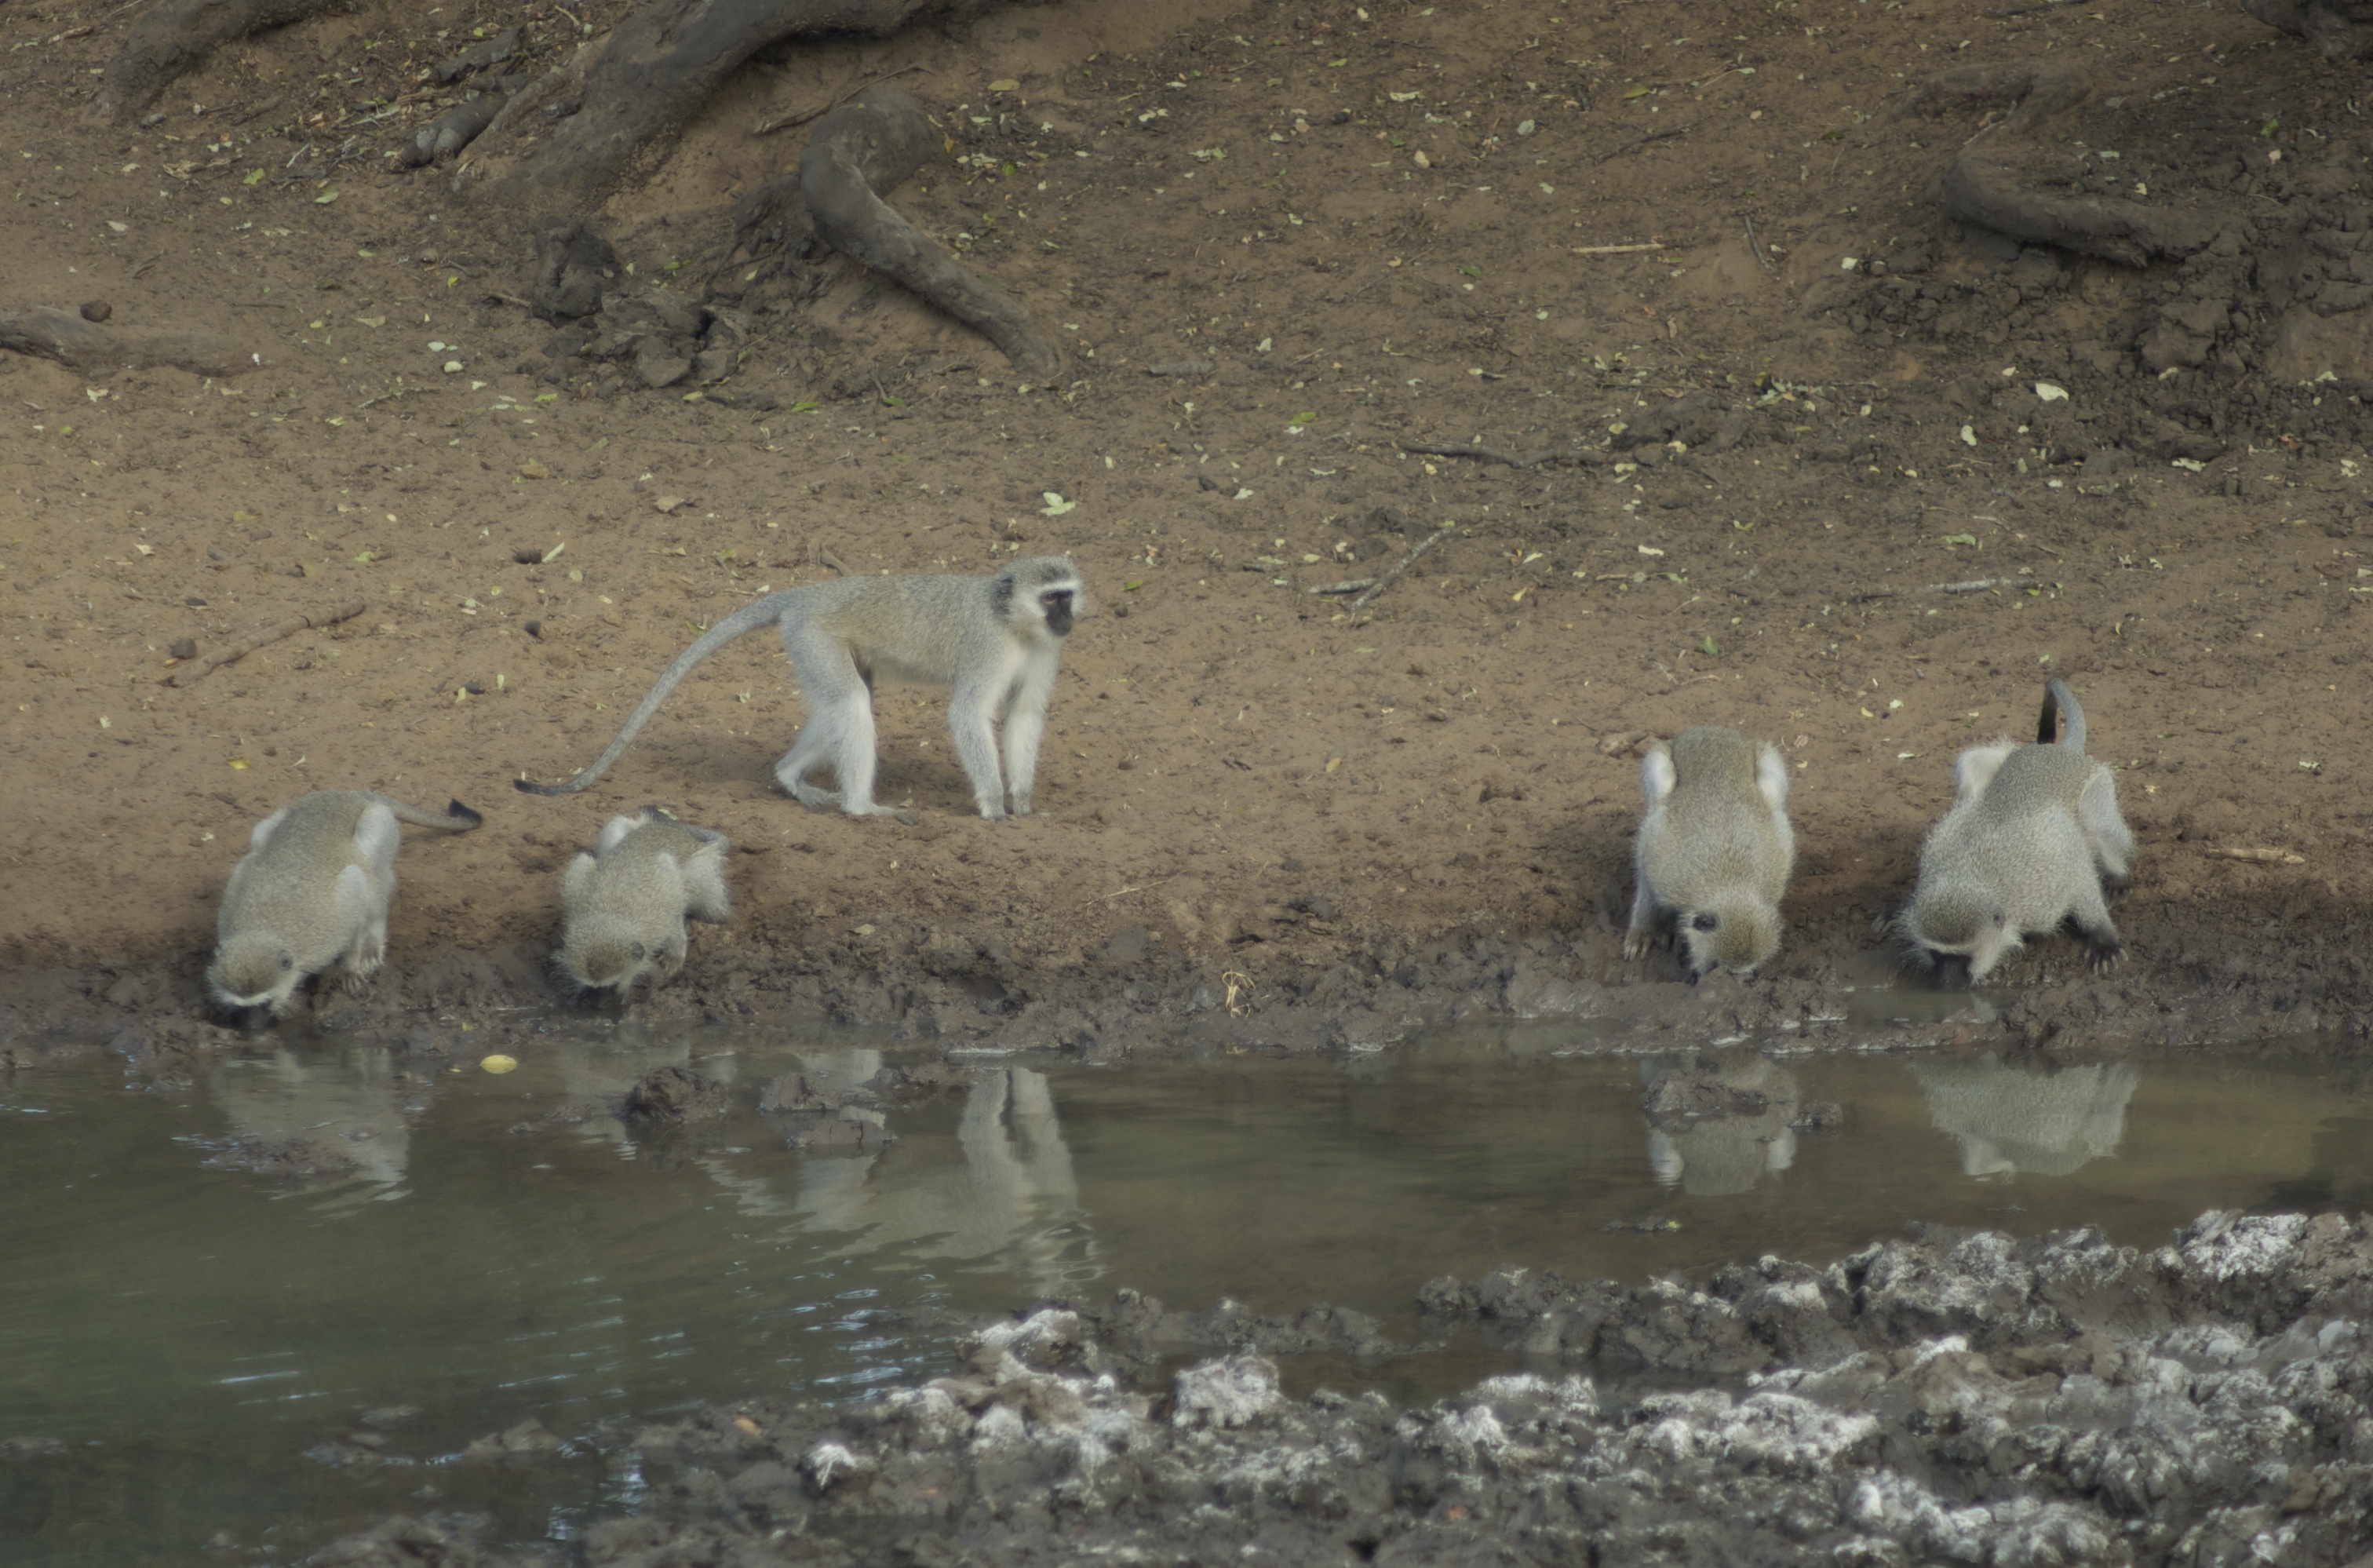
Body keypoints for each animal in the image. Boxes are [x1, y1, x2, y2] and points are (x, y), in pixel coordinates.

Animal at [213, 787, 486, 1019]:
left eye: (264, 1004)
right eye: (243, 1008)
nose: (252, 1026)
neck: (264, 929)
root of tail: (348, 794)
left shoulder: (338, 918)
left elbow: (356, 903)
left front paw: (350, 966)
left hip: (381, 824)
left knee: (373, 876)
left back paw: (373, 939)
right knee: (260, 837)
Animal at [515, 557, 1086, 820]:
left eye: (1067, 596)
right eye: (1051, 598)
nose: (1069, 619)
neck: (1012, 622)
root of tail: (806, 594)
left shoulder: (1045, 650)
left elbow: (1024, 715)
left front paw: (1023, 802)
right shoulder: (989, 647)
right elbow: (969, 715)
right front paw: (994, 806)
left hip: (815, 643)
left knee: (845, 704)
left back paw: (790, 776)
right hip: (812, 635)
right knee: (851, 705)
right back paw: (862, 808)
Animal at [557, 806, 731, 991]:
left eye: (611, 987)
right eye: (592, 989)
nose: (596, 999)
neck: (609, 914)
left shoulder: (666, 891)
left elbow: (674, 897)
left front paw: (675, 952)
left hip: (703, 872)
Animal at [1898, 678, 2145, 986]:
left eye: (1960, 958)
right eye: (1937, 955)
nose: (1945, 982)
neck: (1970, 875)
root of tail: (2060, 752)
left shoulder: (2044, 890)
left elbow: (2080, 876)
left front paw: (2103, 937)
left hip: (2097, 785)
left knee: (2095, 823)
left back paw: (2117, 877)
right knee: (1972, 770)